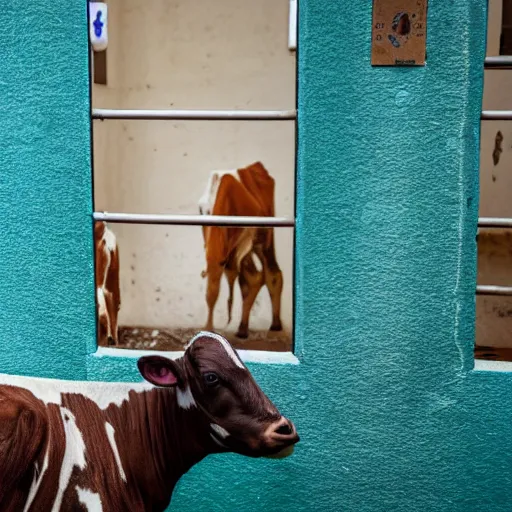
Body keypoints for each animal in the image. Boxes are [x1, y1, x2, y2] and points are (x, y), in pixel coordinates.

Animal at [198, 162, 284, 338]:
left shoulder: (242, 245)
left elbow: (252, 280)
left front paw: (210, 328)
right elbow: (244, 282)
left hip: (265, 240)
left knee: (272, 274)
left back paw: (274, 324)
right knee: (254, 278)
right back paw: (245, 327)